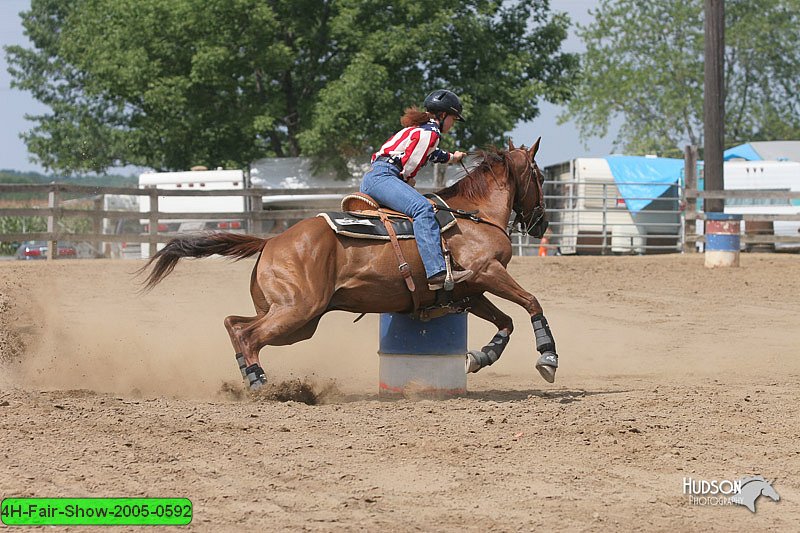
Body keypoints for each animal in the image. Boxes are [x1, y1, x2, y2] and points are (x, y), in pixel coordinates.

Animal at [139, 137, 564, 388]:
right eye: (540, 176)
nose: (543, 223)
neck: (474, 215)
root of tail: (272, 240)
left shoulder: (470, 290)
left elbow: (506, 321)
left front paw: (481, 356)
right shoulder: (488, 272)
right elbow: (531, 303)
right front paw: (548, 356)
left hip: (297, 318)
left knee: (235, 324)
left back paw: (247, 375)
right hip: (298, 310)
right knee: (248, 335)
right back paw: (258, 380)